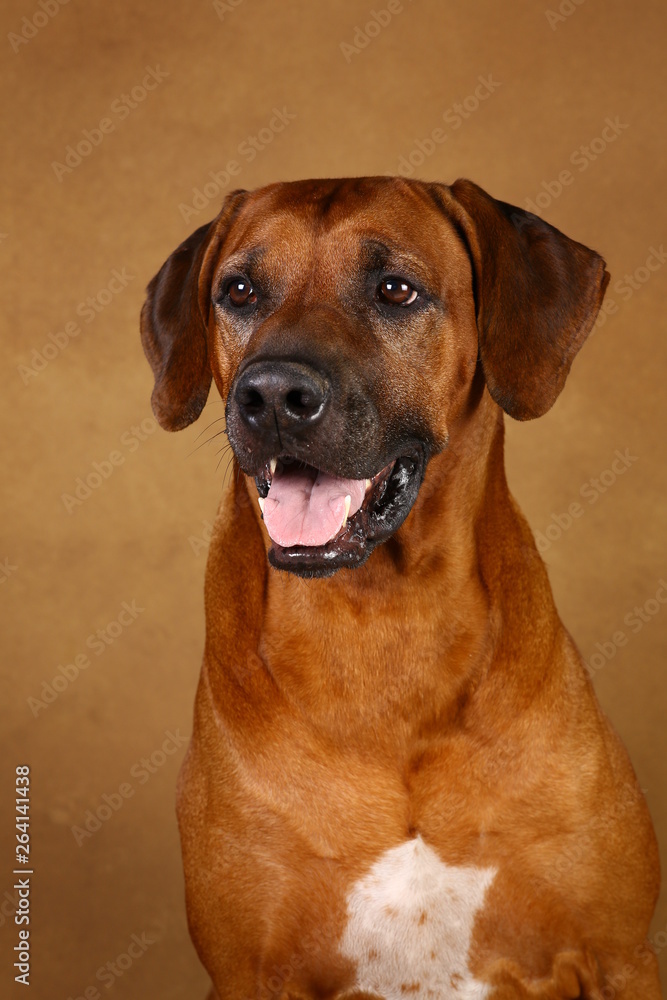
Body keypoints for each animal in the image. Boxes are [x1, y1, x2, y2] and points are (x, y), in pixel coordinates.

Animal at [141, 180, 664, 1000]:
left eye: (395, 290)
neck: (385, 620)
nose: (271, 395)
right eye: (239, 291)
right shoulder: (246, 971)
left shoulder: (621, 955)